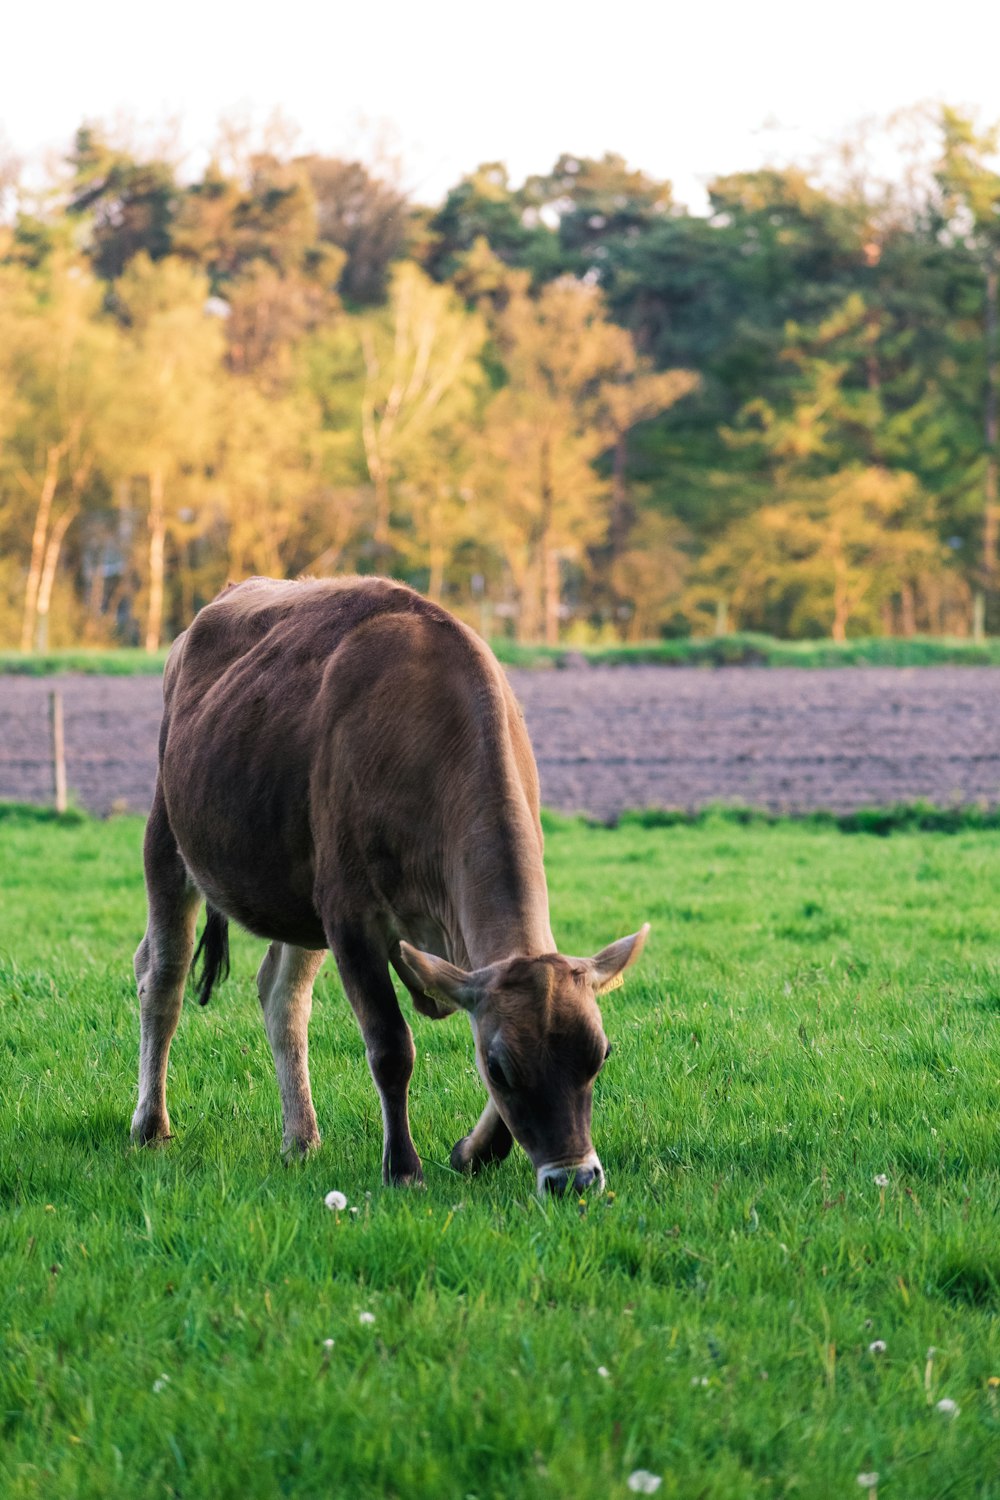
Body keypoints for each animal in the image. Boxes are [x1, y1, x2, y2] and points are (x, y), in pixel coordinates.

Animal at [131, 573, 650, 1194]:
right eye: (501, 1067)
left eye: (600, 1053)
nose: (574, 1179)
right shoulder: (349, 916)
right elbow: (390, 1047)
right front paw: (403, 1169)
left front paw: (473, 1151)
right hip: (169, 838)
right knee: (162, 977)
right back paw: (151, 1125)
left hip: (300, 893)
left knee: (281, 996)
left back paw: (300, 1138)